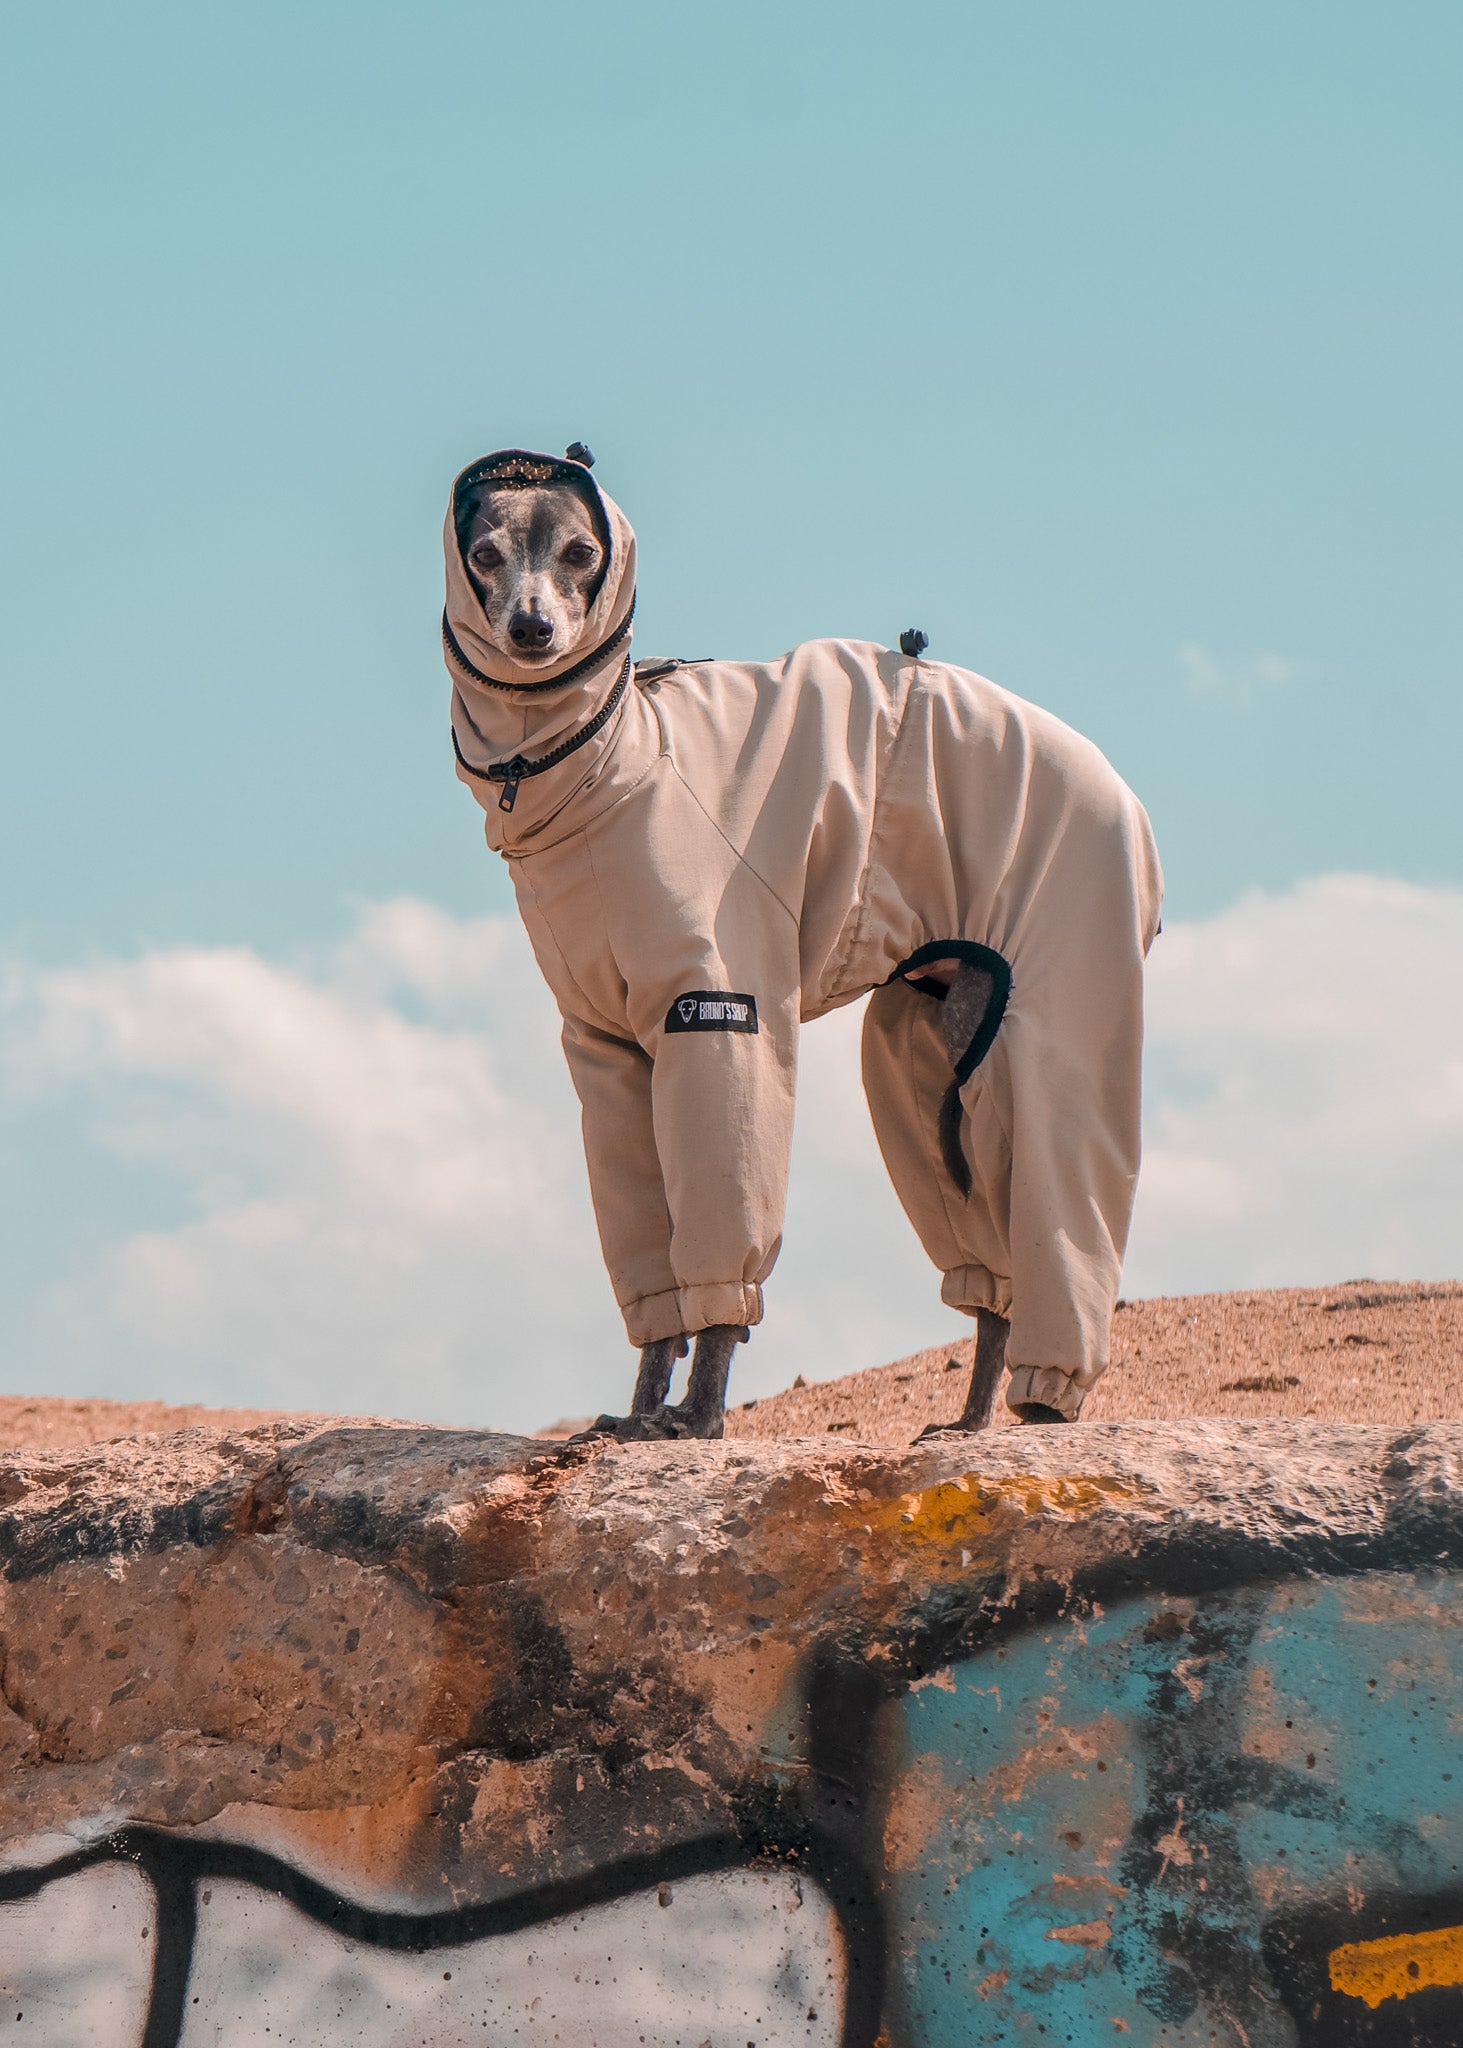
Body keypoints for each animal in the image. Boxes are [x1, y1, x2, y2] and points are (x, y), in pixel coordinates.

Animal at [438, 448, 1155, 1441]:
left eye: (581, 551)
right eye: (485, 553)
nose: (533, 628)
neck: (612, 759)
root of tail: (1123, 792)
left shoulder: (717, 1018)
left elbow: (722, 1251)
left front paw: (696, 1419)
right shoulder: (609, 1056)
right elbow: (655, 1281)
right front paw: (637, 1413)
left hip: (1053, 1023)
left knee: (1060, 1206)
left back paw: (1043, 1413)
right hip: (926, 1061)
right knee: (993, 1269)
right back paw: (971, 1422)